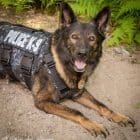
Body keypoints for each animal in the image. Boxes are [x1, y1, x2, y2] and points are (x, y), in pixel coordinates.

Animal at [0, 2, 135, 138]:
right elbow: (76, 112)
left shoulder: (79, 93)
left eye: (92, 38)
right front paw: (94, 125)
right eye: (74, 37)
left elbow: (102, 105)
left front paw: (118, 116)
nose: (82, 54)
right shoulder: (43, 101)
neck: (60, 64)